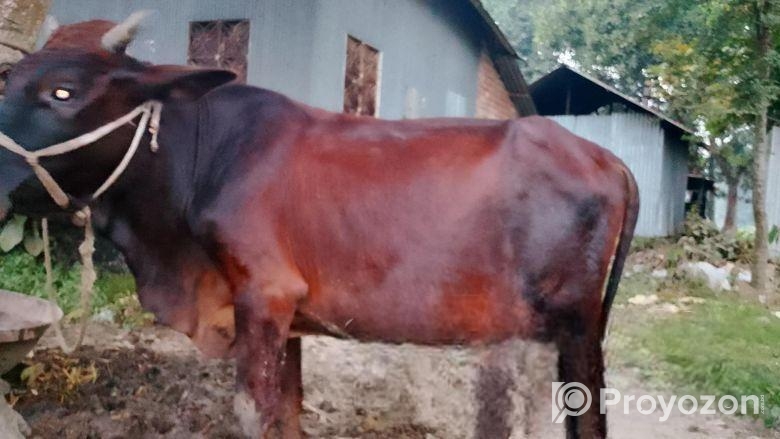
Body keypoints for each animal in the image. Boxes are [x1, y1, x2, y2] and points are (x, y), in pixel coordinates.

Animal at [0, 15, 638, 439]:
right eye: (7, 80)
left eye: (64, 91)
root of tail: (607, 160)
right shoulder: (291, 318)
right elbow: (289, 412)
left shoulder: (263, 297)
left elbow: (255, 413)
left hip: (576, 327)